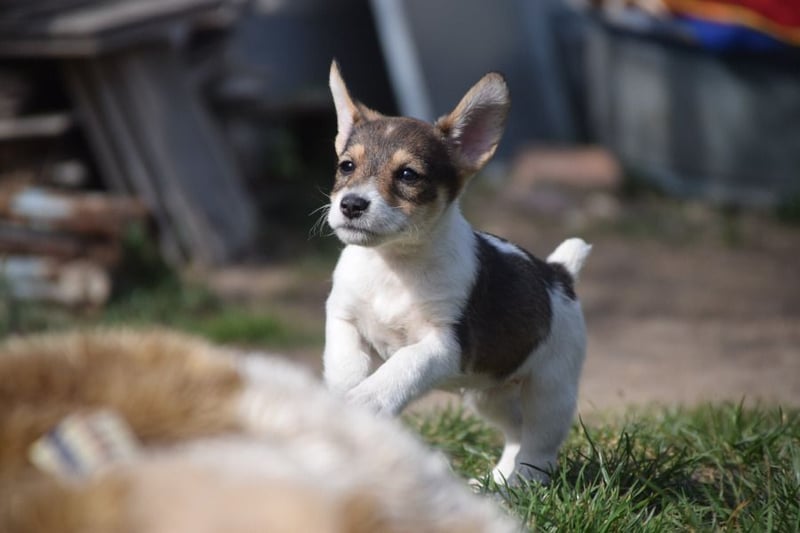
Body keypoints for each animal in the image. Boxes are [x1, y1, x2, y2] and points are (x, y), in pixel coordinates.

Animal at [323, 61, 592, 484]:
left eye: (408, 175)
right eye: (346, 166)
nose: (351, 204)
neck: (393, 266)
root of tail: (557, 272)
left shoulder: (444, 344)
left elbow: (400, 369)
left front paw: (364, 403)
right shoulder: (343, 318)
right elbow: (345, 366)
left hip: (550, 391)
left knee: (538, 451)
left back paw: (517, 487)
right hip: (490, 396)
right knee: (515, 435)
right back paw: (496, 482)